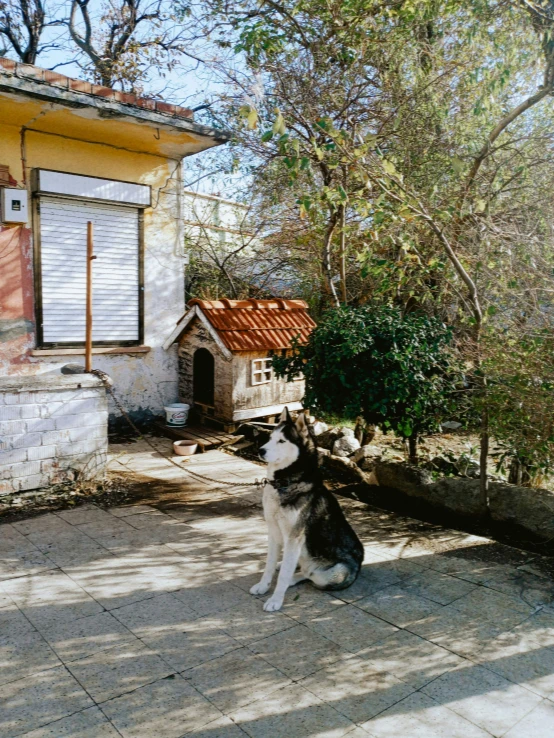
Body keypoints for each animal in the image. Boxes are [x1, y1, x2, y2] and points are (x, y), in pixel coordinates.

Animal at [249, 408, 362, 608]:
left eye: (282, 441)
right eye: (270, 438)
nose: (260, 450)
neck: (284, 482)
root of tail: (360, 563)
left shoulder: (294, 537)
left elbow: (284, 576)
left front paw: (276, 600)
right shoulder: (273, 531)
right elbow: (268, 566)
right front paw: (263, 586)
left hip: (333, 574)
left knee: (309, 575)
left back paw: (293, 577)